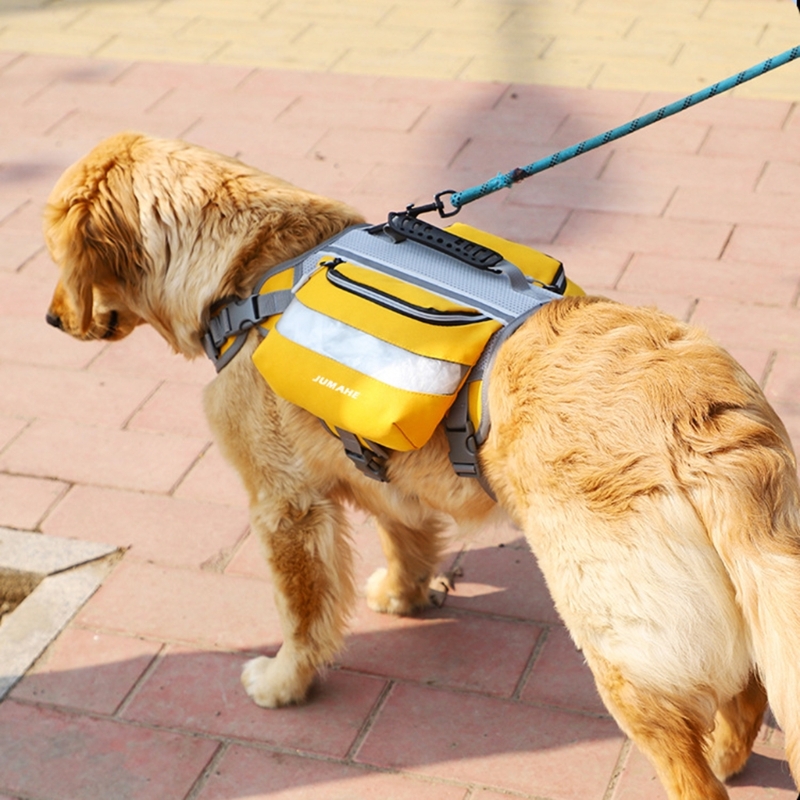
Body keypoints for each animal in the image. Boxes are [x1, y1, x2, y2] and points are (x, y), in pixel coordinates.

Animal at [42, 133, 800, 800]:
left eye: (55, 256)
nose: (50, 320)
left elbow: (301, 613)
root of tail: (709, 419)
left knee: (696, 756)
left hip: (620, 641)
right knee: (748, 692)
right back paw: (729, 755)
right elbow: (403, 534)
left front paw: (285, 683)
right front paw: (404, 593)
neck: (249, 275)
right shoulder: (376, 470)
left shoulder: (282, 501)